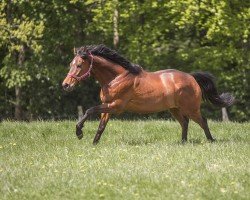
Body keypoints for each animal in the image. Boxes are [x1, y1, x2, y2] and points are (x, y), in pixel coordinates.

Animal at [62, 44, 234, 144]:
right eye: (71, 64)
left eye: (79, 65)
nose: (66, 85)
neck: (115, 78)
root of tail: (191, 78)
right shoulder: (107, 107)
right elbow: (101, 127)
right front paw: (94, 143)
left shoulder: (116, 106)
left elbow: (89, 110)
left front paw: (79, 132)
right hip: (174, 109)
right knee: (185, 123)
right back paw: (183, 142)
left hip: (191, 108)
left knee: (202, 121)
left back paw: (211, 140)